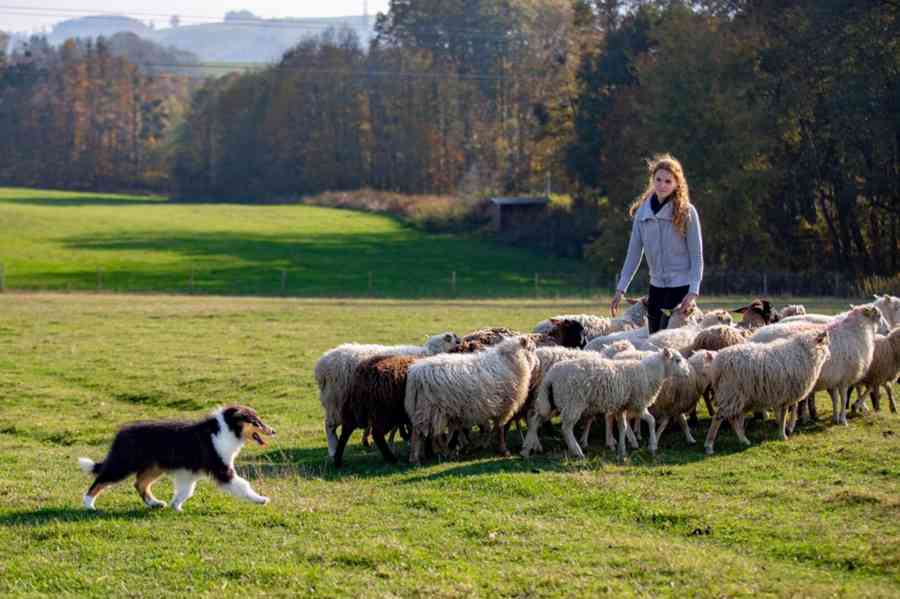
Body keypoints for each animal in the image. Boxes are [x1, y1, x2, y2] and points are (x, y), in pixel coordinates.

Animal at [77, 406, 274, 512]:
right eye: (256, 422)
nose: (273, 431)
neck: (228, 429)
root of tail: (120, 434)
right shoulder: (222, 469)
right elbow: (243, 485)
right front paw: (261, 499)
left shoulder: (188, 473)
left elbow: (186, 491)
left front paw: (176, 506)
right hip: (124, 464)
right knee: (101, 480)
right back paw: (89, 504)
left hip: (154, 467)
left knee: (140, 484)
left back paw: (155, 503)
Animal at [316, 332, 460, 460]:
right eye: (453, 339)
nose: (455, 335)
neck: (427, 352)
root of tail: (321, 365)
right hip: (335, 401)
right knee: (329, 426)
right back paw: (333, 450)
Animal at [406, 336, 536, 462]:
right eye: (532, 348)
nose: (538, 361)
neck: (511, 361)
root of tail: (415, 374)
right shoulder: (504, 406)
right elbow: (499, 429)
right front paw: (502, 450)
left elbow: (493, 429)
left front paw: (483, 444)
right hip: (431, 409)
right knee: (422, 434)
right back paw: (422, 457)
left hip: (426, 409)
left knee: (423, 433)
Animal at [520, 350, 688, 462]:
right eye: (677, 360)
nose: (687, 373)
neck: (649, 373)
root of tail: (551, 376)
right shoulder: (638, 403)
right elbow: (651, 421)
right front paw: (652, 446)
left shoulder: (622, 407)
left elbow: (622, 427)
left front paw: (622, 450)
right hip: (573, 401)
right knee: (566, 428)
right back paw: (577, 451)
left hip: (552, 401)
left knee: (535, 420)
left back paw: (526, 449)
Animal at [748, 308, 884, 428]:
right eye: (879, 315)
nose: (886, 330)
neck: (857, 331)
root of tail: (754, 336)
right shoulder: (844, 379)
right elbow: (843, 399)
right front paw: (843, 420)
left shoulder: (834, 379)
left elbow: (835, 399)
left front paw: (835, 418)